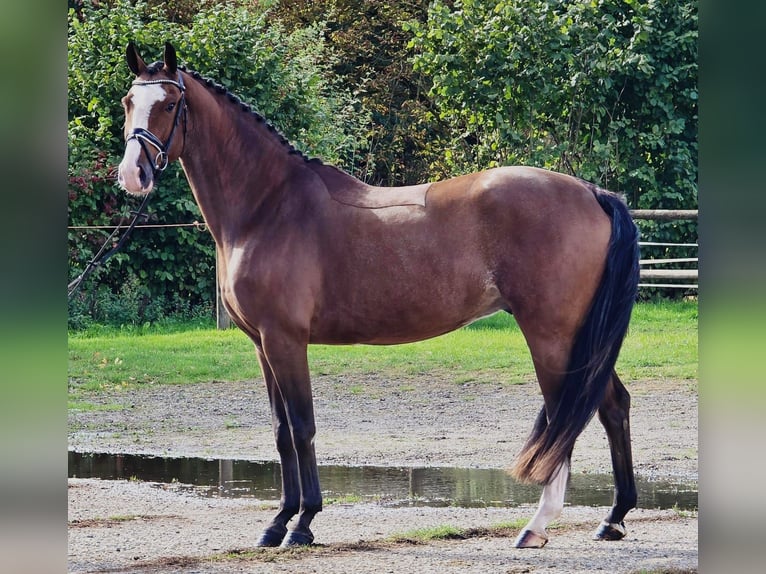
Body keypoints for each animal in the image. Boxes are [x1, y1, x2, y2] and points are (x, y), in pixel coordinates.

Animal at [117, 42, 640, 549]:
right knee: (611, 405)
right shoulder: (263, 345)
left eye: (169, 104)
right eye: (127, 101)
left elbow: (303, 427)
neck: (268, 207)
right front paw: (277, 522)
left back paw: (536, 526)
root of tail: (593, 192)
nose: (132, 174)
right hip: (579, 337)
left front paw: (303, 523)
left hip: (552, 335)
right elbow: (282, 431)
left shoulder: (285, 340)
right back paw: (613, 518)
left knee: (568, 417)